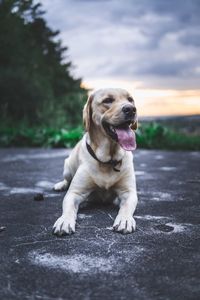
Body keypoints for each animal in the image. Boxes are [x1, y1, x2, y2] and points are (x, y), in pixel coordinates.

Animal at [52, 88, 138, 236]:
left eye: (130, 99)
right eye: (108, 100)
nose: (131, 109)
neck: (108, 160)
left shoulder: (129, 192)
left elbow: (126, 206)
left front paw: (125, 220)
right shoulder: (75, 193)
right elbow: (68, 207)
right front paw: (64, 221)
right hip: (67, 167)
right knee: (67, 180)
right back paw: (60, 185)